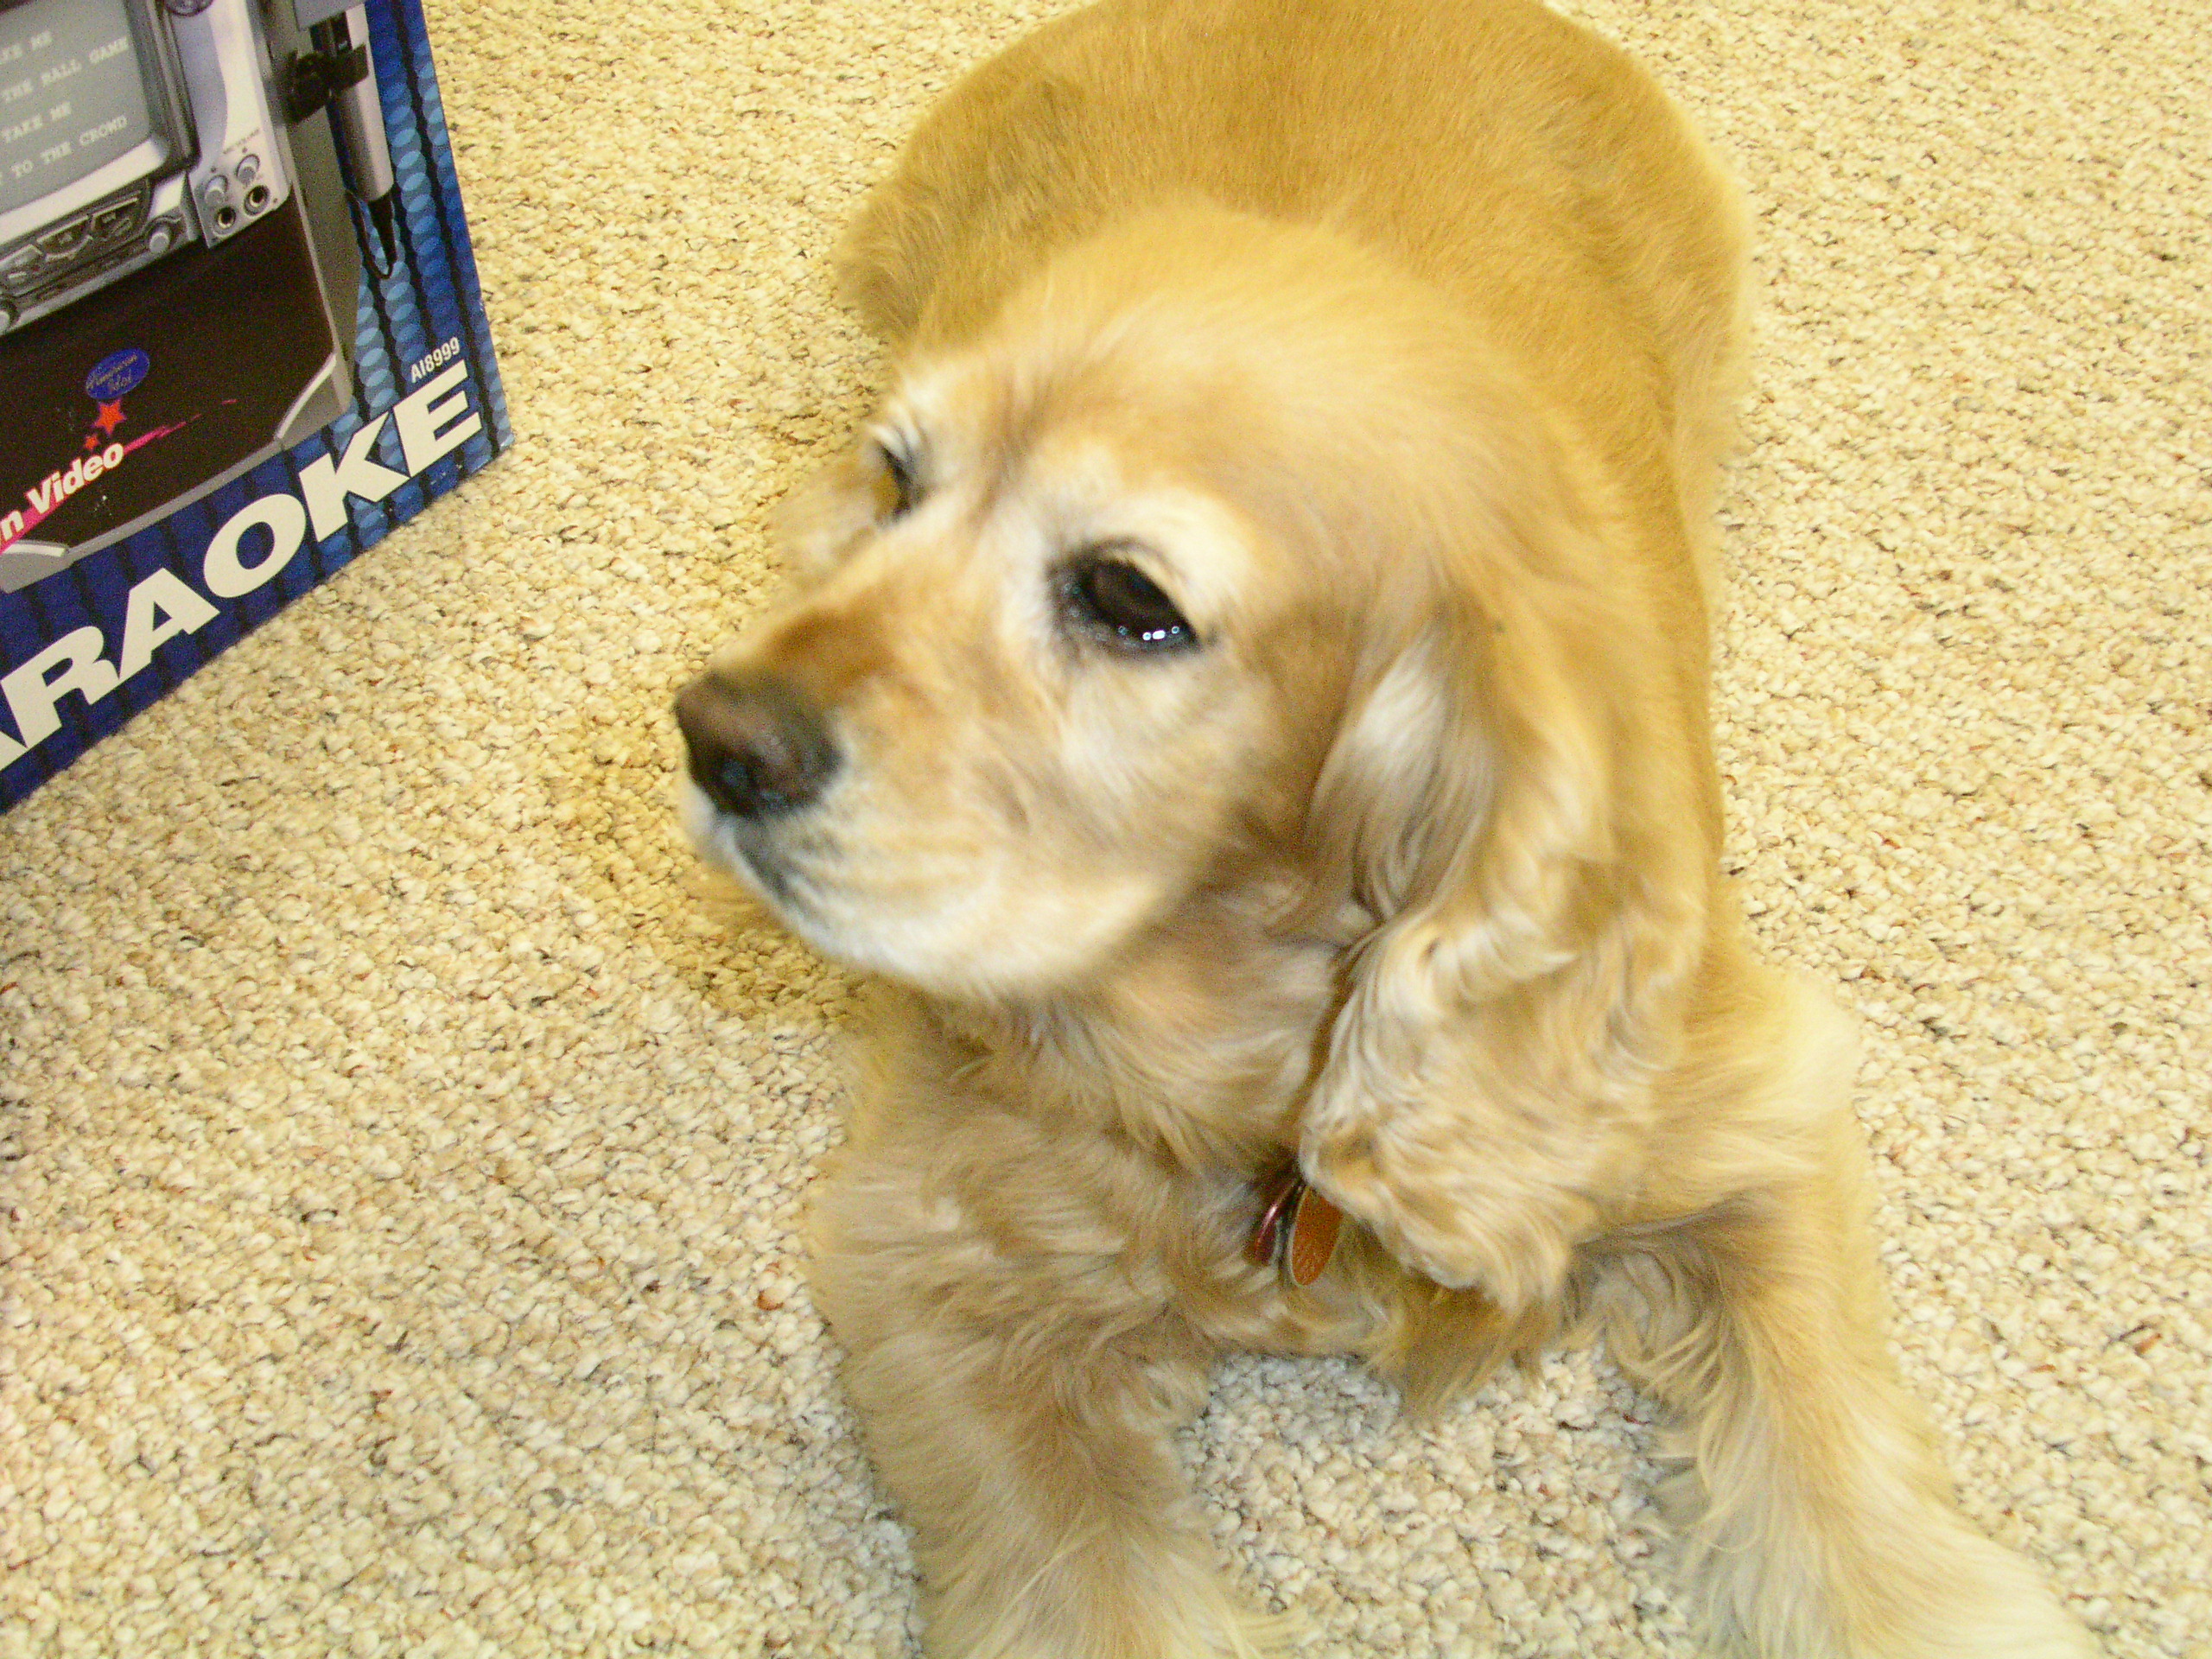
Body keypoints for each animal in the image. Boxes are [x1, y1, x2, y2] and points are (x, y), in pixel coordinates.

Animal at [675, 1, 2097, 1653]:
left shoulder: (1745, 1110)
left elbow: (1839, 1490)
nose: (716, 739)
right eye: (900, 484)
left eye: (1126, 598)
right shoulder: (936, 1259)